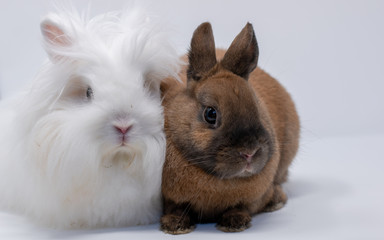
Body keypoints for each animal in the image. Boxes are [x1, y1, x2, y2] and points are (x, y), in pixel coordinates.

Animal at [159, 22, 300, 234]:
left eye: (257, 105)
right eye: (210, 114)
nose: (249, 153)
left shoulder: (252, 199)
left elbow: (242, 207)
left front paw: (234, 223)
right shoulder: (169, 198)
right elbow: (175, 208)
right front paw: (175, 226)